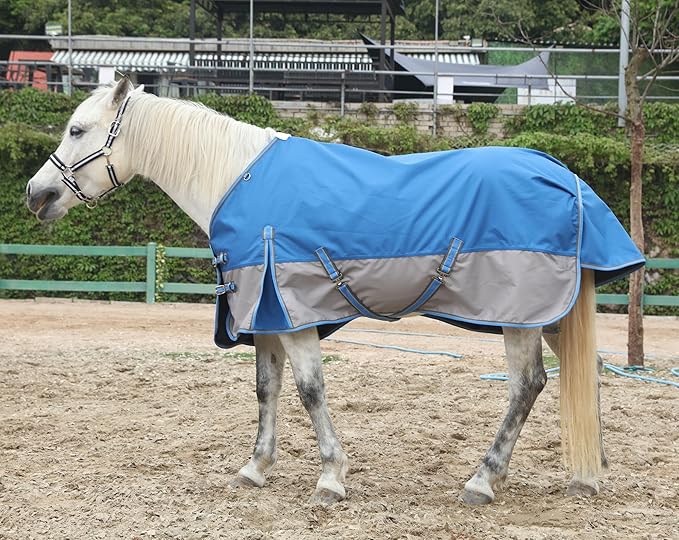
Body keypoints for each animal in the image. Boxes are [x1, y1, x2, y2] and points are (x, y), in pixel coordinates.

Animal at [25, 78, 632, 506]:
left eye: (77, 130)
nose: (36, 193)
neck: (234, 178)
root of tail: (566, 178)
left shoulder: (293, 316)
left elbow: (309, 390)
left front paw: (330, 478)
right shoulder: (266, 317)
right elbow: (266, 390)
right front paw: (255, 469)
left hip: (520, 316)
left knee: (527, 385)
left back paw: (483, 480)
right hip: (549, 314)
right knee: (584, 371)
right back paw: (590, 473)